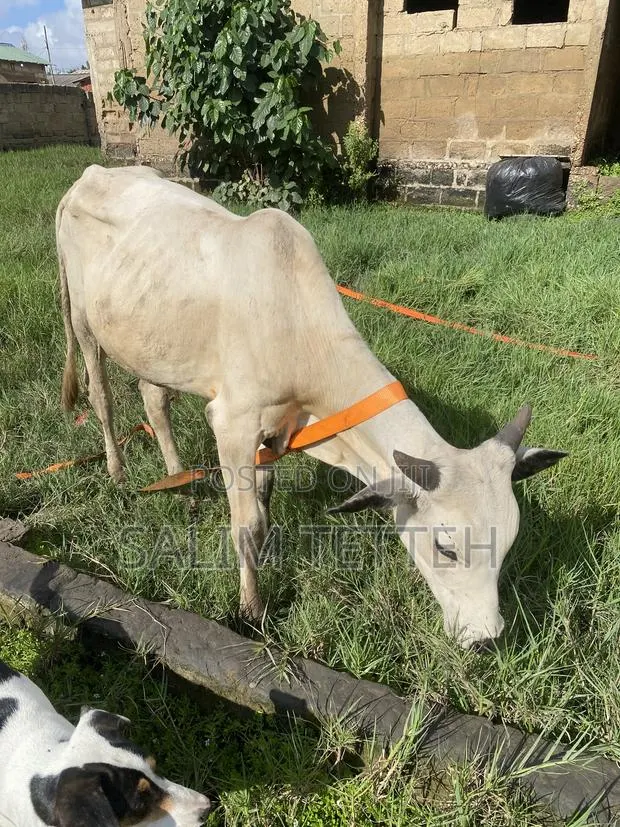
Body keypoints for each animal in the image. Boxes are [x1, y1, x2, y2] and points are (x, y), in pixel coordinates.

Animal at [56, 164, 566, 650]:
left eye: (510, 541)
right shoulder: (234, 422)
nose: (486, 639)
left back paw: (180, 482)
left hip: (153, 344)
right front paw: (251, 611)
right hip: (81, 321)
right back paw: (118, 471)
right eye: (446, 548)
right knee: (102, 397)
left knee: (154, 399)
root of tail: (90, 175)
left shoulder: (274, 428)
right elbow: (247, 526)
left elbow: (263, 507)